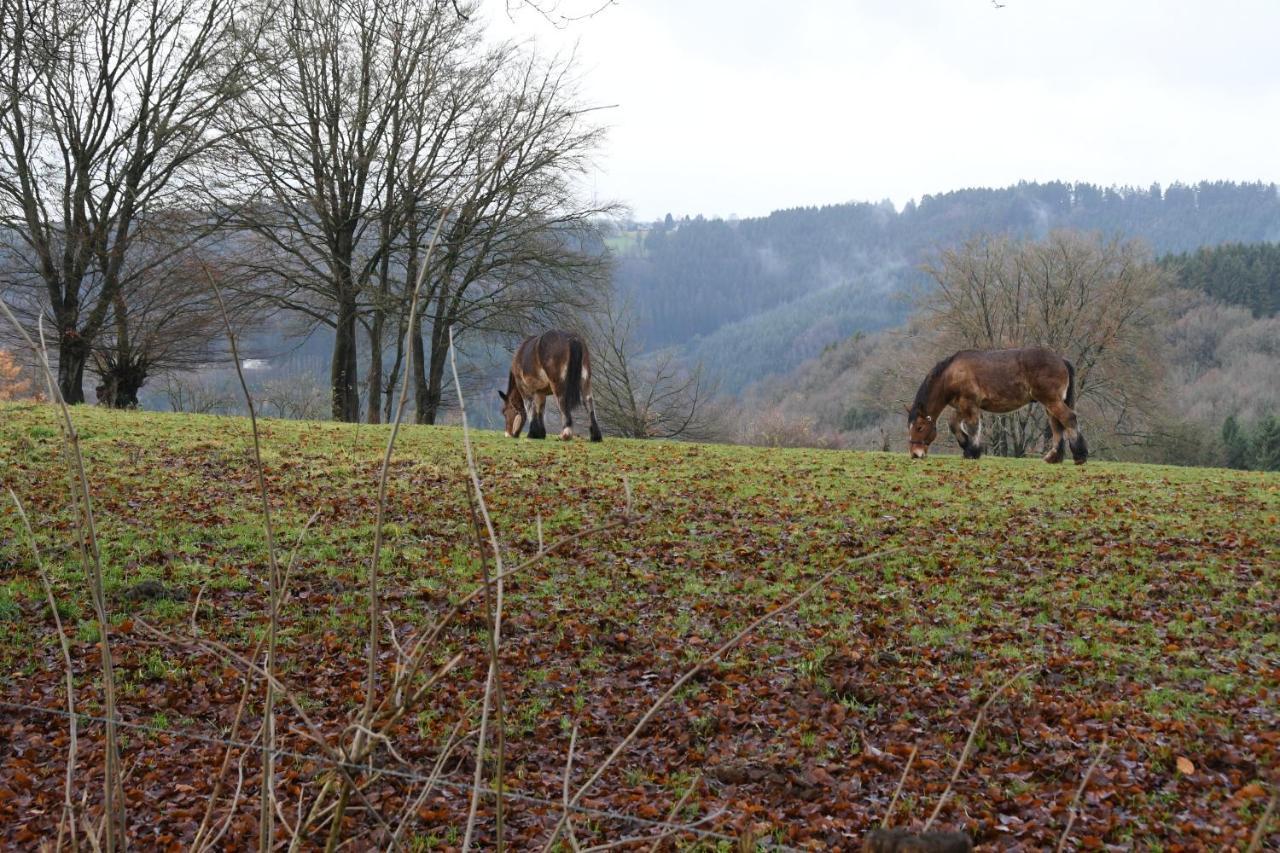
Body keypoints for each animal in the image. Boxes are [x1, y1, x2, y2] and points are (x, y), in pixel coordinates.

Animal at [901, 345, 1090, 461]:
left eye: (919, 427)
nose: (915, 454)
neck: (952, 374)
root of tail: (1061, 359)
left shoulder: (970, 404)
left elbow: (973, 427)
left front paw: (973, 451)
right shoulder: (961, 407)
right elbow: (953, 424)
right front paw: (966, 446)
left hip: (1051, 401)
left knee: (1068, 418)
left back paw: (1080, 455)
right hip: (1050, 404)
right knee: (1057, 425)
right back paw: (1054, 457)